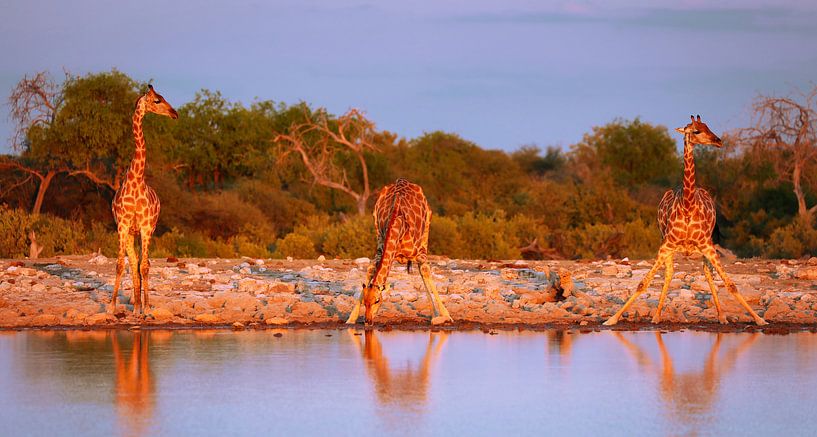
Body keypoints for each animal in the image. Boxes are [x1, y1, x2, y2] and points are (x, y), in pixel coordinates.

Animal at [111, 84, 178, 314]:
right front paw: (111, 307)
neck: (135, 179)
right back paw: (135, 305)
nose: (175, 113)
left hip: (146, 230)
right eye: (157, 100)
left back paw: (142, 306)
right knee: (133, 263)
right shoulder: (122, 225)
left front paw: (148, 308)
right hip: (132, 233)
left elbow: (146, 266)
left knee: (142, 264)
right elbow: (121, 265)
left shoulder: (146, 226)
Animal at [342, 177, 450, 324]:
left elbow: (425, 270)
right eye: (364, 302)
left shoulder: (418, 253)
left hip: (425, 233)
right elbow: (370, 270)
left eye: (377, 300)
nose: (368, 321)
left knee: (424, 269)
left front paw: (445, 316)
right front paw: (351, 318)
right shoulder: (380, 249)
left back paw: (436, 314)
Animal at [604, 114, 768, 326]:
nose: (718, 141)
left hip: (707, 246)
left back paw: (722, 316)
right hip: (668, 246)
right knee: (669, 273)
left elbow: (731, 285)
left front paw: (759, 319)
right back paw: (656, 316)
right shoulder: (666, 246)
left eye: (708, 126)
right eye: (696, 131)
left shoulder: (707, 245)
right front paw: (611, 319)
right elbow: (643, 283)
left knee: (707, 273)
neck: (688, 205)